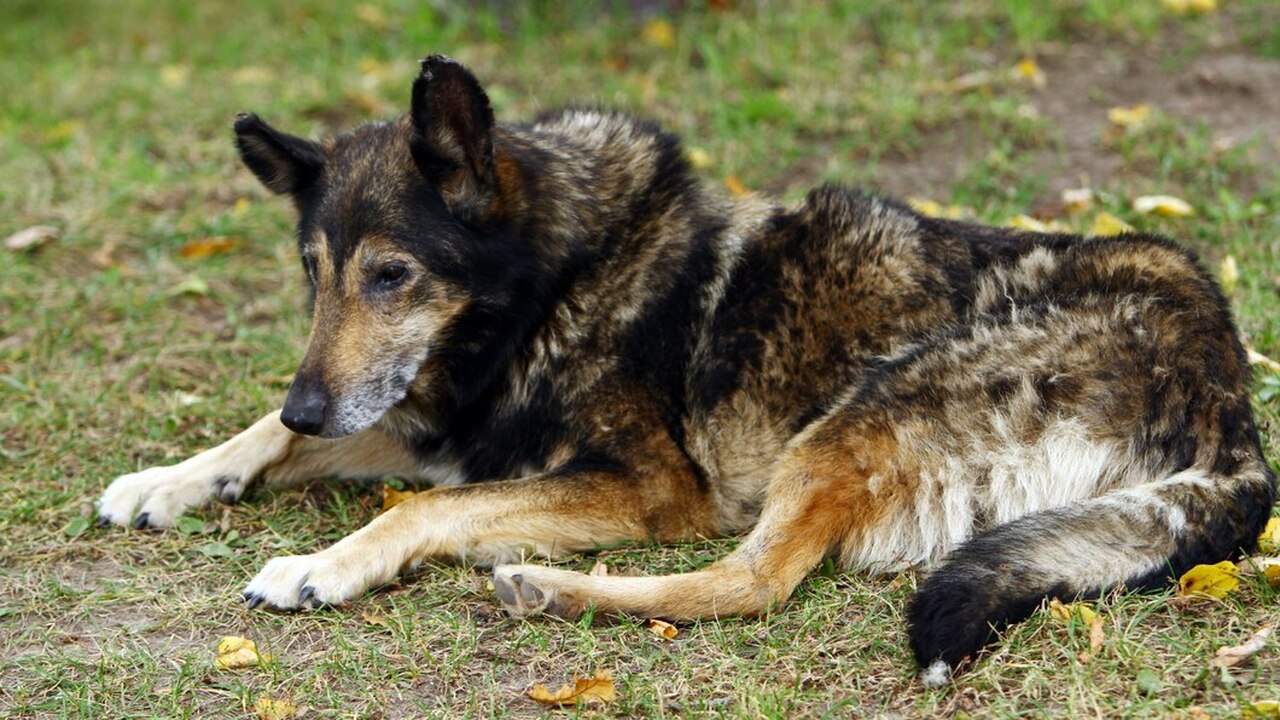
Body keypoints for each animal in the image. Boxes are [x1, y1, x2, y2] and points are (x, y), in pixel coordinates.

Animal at [97, 53, 1269, 681]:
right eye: (314, 274)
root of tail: (1228, 400)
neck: (554, 280)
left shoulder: (645, 486)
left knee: (750, 580)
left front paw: (322, 564)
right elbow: (267, 433)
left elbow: (417, 510)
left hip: (855, 416)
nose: (311, 404)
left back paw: (552, 588)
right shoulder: (431, 419)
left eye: (391, 275)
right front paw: (168, 480)